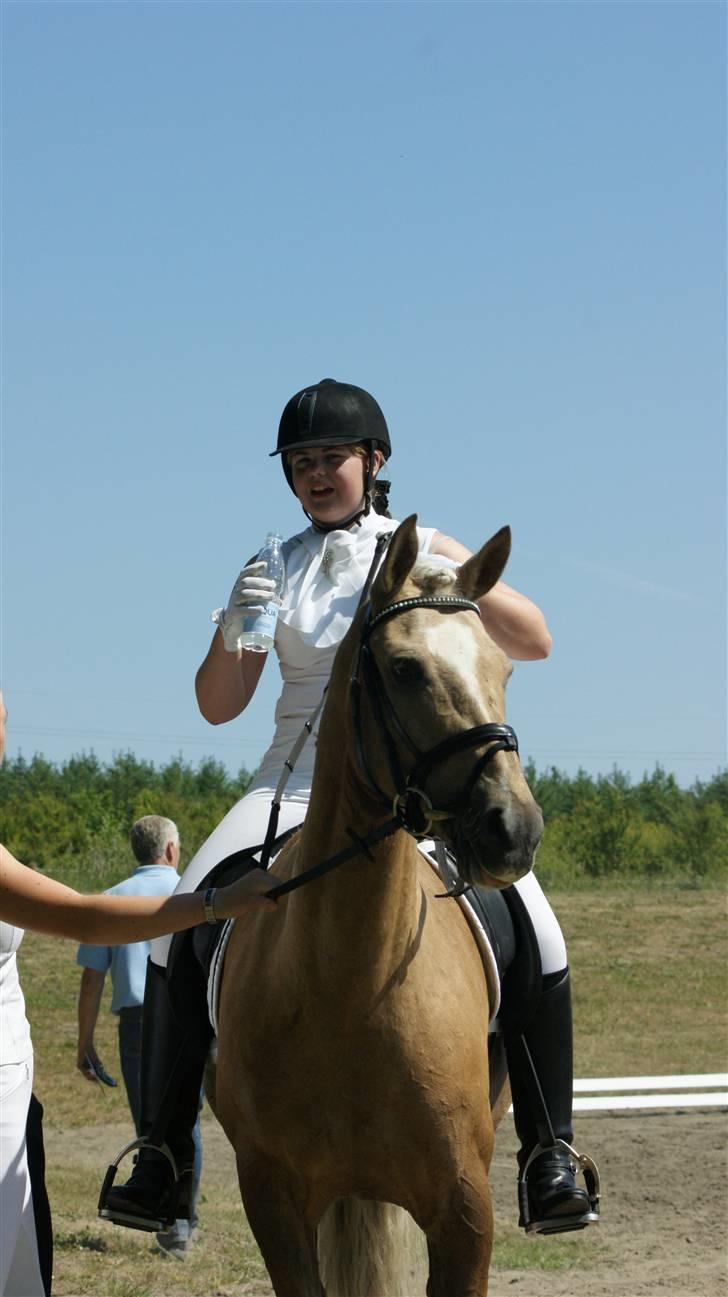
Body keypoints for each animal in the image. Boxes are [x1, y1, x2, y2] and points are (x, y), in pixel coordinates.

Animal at [212, 516, 542, 1297]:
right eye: (405, 669)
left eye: (505, 668)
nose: (514, 830)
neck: (351, 985)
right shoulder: (272, 1197)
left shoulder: (464, 1208)